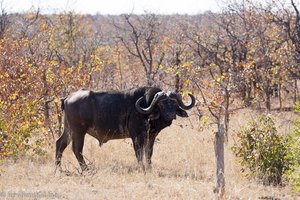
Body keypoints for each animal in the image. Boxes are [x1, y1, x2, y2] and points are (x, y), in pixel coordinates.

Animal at [55, 86, 196, 170]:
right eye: (162, 104)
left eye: (174, 103)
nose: (170, 115)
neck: (146, 108)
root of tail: (68, 97)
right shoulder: (137, 136)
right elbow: (139, 152)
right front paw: (141, 168)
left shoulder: (151, 136)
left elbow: (149, 153)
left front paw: (149, 168)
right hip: (79, 131)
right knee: (77, 149)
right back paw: (86, 169)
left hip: (69, 130)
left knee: (60, 144)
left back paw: (58, 168)